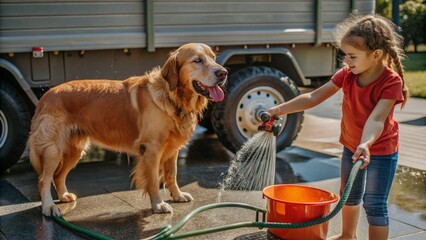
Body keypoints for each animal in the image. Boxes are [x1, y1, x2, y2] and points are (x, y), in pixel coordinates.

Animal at [27, 42, 228, 217]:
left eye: (213, 57)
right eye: (197, 60)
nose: (223, 73)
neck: (172, 96)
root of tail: (46, 96)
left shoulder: (172, 147)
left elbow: (172, 174)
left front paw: (177, 196)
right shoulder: (152, 148)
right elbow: (153, 180)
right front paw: (158, 205)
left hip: (74, 150)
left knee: (58, 176)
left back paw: (63, 197)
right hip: (53, 149)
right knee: (43, 179)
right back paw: (49, 207)